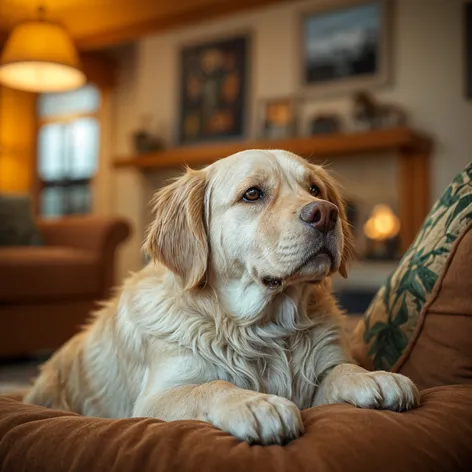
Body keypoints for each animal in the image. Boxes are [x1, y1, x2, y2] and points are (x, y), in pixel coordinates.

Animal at [24, 151, 418, 446]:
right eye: (253, 194)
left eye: (313, 188)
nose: (326, 213)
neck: (263, 326)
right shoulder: (154, 399)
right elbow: (213, 385)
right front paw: (257, 403)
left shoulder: (320, 372)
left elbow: (341, 369)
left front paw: (376, 377)